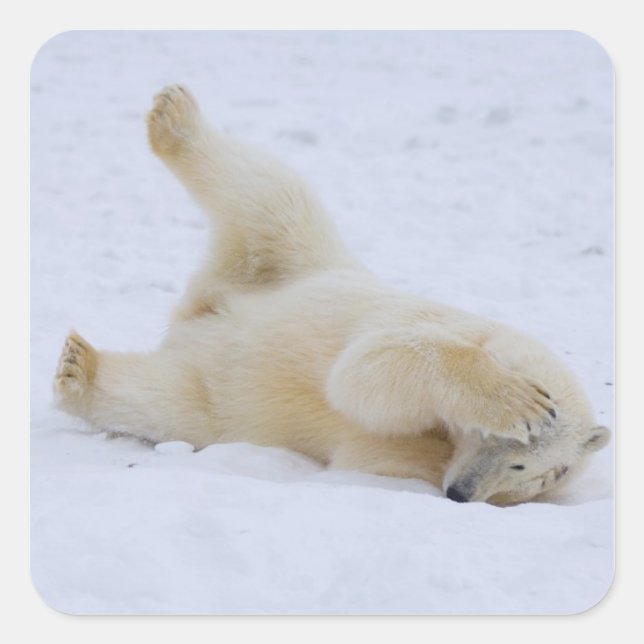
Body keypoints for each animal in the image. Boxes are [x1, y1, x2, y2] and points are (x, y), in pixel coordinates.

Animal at [53, 85, 610, 506]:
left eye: (529, 470)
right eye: (506, 441)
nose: (461, 494)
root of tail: (201, 309)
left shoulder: (413, 456)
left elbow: (372, 449)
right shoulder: (438, 322)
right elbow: (369, 368)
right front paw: (519, 399)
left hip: (218, 397)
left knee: (164, 402)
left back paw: (81, 370)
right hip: (298, 259)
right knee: (269, 193)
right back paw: (176, 117)